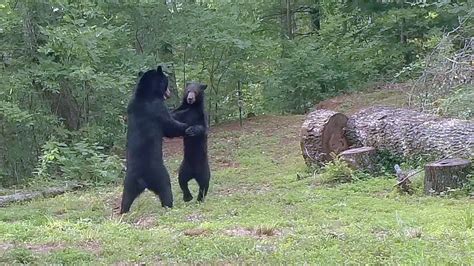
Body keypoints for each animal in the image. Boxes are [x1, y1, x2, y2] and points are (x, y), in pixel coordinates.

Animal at [121, 66, 199, 214]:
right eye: (166, 82)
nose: (169, 93)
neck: (145, 94)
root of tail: (142, 180)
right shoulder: (157, 108)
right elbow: (170, 126)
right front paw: (186, 126)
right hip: (160, 174)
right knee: (166, 188)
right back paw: (169, 205)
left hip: (129, 182)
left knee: (126, 196)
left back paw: (123, 211)